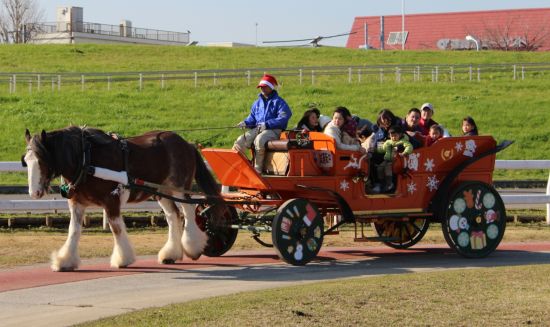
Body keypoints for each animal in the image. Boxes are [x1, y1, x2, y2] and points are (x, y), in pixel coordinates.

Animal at [21, 127, 224, 272]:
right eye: (26, 161)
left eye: (42, 160)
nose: (34, 193)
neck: (87, 159)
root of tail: (187, 143)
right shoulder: (77, 204)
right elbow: (74, 231)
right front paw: (65, 261)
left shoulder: (111, 199)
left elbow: (116, 227)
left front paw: (123, 258)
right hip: (160, 191)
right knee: (173, 216)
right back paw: (171, 254)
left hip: (178, 188)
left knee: (188, 212)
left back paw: (192, 247)